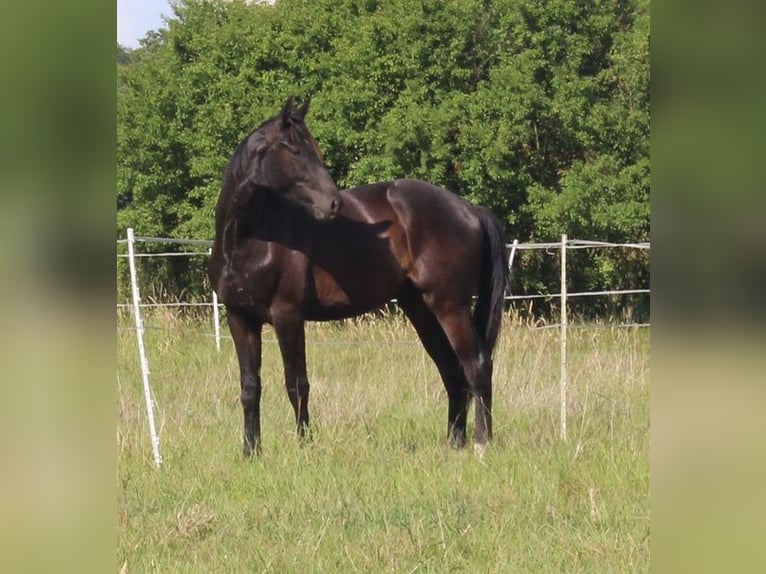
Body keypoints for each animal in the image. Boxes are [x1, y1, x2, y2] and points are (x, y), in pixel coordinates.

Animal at [210, 98, 510, 460]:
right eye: (295, 150)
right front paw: (251, 451)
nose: (334, 202)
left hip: (450, 306)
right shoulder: (240, 319)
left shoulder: (288, 316)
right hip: (421, 309)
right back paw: (455, 441)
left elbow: (297, 384)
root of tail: (469, 208)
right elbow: (250, 387)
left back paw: (482, 442)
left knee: (477, 365)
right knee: (451, 370)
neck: (247, 239)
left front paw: (305, 446)